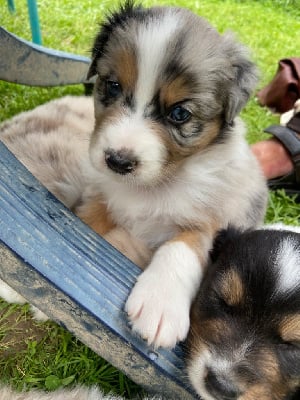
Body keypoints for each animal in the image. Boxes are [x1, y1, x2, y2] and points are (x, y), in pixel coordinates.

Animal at [0, 1, 268, 348]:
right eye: (112, 86)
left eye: (179, 113)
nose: (117, 161)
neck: (150, 187)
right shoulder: (100, 196)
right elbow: (85, 224)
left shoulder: (211, 220)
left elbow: (184, 245)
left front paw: (160, 305)